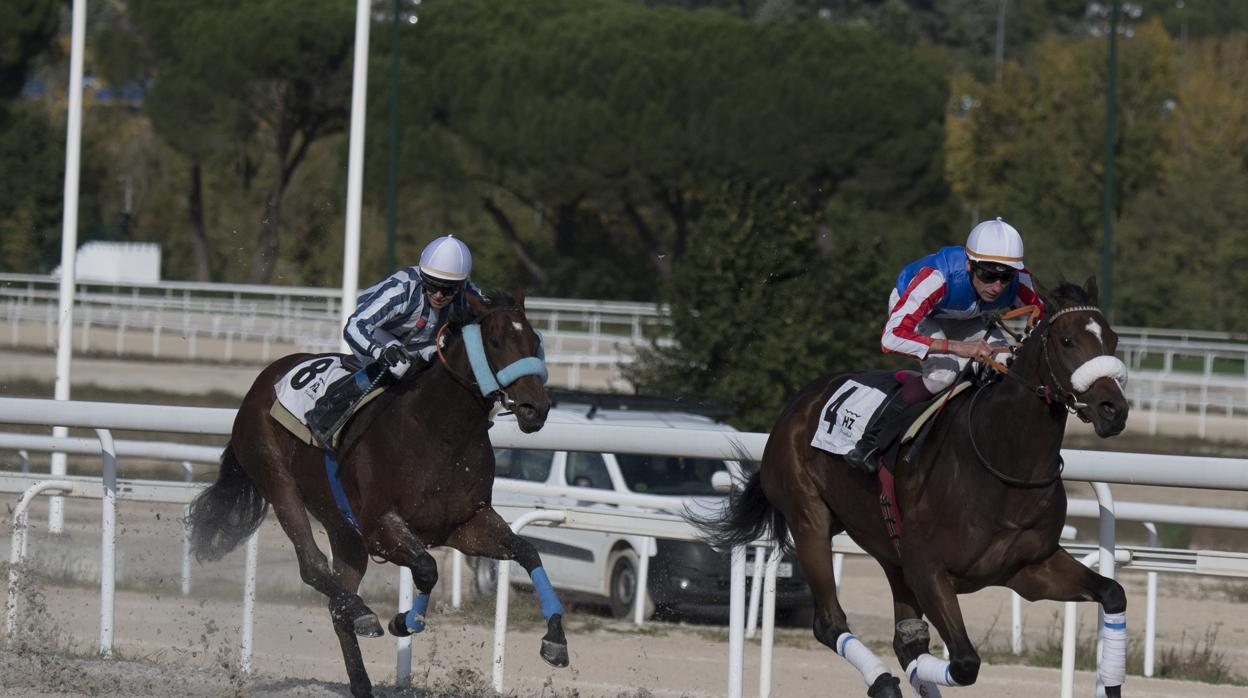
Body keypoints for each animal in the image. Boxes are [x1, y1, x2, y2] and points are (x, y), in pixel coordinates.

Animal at [185, 290, 571, 698]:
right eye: (495, 341)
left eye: (535, 341)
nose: (535, 408)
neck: (439, 429)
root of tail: (264, 380)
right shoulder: (379, 528)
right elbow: (427, 567)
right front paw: (404, 621)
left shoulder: (465, 524)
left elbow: (527, 551)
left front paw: (556, 640)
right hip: (278, 480)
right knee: (312, 565)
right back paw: (363, 613)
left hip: (343, 528)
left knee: (337, 605)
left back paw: (361, 676)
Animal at [698, 279, 1138, 698]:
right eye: (1066, 340)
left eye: (1113, 339)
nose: (1113, 410)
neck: (1004, 464)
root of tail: (797, 404)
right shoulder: (928, 568)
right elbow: (964, 662)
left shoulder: (1030, 569)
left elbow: (1113, 593)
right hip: (809, 519)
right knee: (830, 622)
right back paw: (882, 681)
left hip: (890, 551)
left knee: (903, 636)